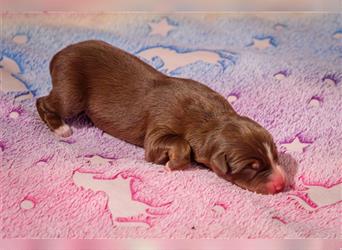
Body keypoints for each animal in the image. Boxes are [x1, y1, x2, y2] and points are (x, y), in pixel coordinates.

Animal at [36, 39, 286, 195]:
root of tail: (58, 55)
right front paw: (170, 164)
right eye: (252, 167)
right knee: (44, 101)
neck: (211, 118)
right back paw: (60, 128)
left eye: (275, 156)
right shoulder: (160, 127)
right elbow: (176, 144)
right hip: (71, 91)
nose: (282, 183)